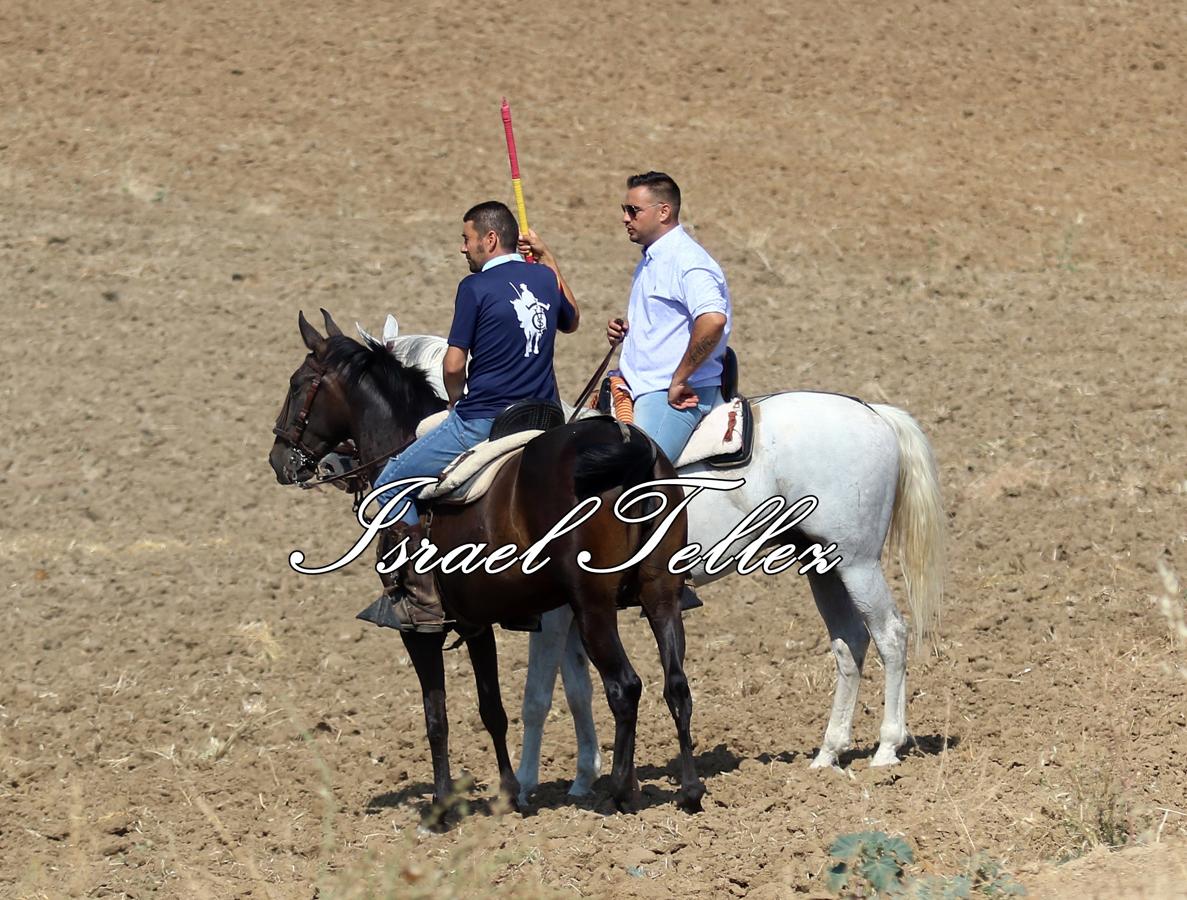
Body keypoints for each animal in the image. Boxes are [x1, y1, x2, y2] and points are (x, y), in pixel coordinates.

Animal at [269, 313, 702, 821]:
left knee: (625, 686)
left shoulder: (420, 629)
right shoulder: (475, 622)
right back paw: (689, 790)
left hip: (594, 607)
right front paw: (509, 793)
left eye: (298, 384)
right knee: (676, 684)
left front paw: (440, 807)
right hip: (660, 593)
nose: (278, 459)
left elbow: (435, 713)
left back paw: (619, 791)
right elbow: (491, 708)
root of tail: (626, 444)